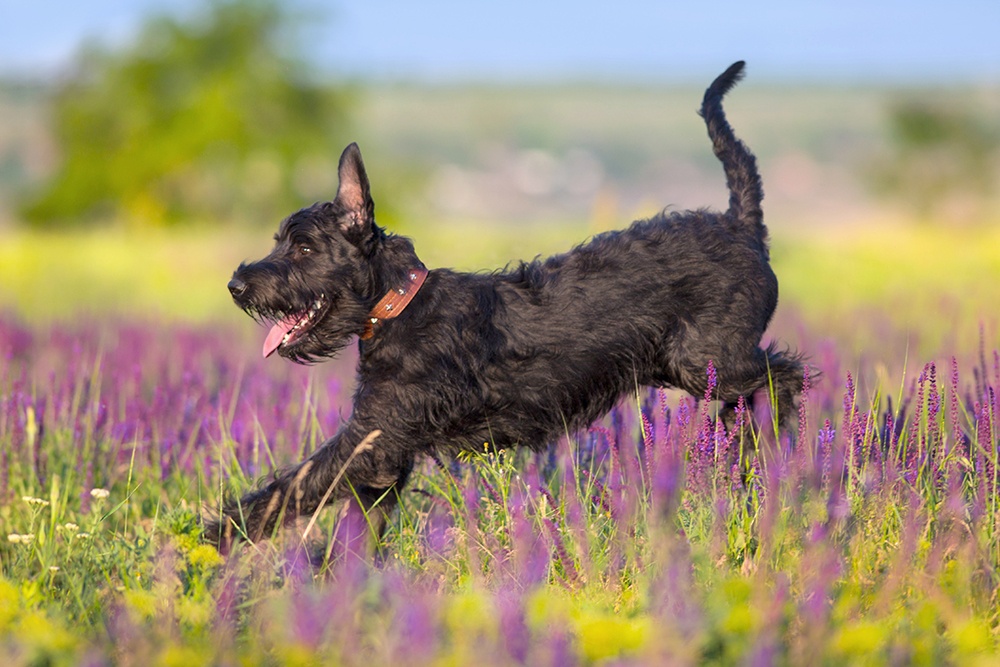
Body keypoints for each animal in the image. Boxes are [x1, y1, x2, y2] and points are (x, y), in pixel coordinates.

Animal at [209, 62, 804, 552]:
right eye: (280, 241)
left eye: (305, 248)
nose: (237, 285)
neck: (398, 306)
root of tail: (742, 225)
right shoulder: (383, 454)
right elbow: (352, 526)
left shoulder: (371, 438)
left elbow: (293, 485)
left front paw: (216, 534)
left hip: (708, 359)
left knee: (785, 376)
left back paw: (764, 445)